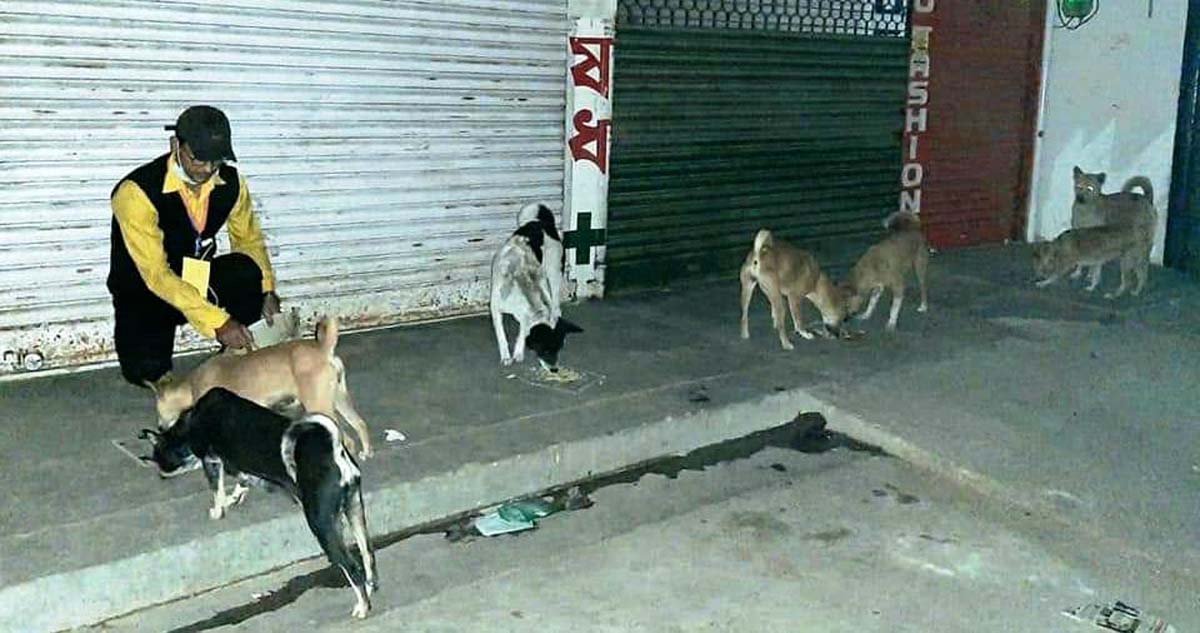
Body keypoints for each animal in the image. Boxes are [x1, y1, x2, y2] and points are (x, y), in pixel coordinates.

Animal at [145, 386, 379, 618]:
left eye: (158, 456)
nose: (160, 475)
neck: (191, 419)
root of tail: (335, 451)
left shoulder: (212, 461)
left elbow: (217, 490)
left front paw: (218, 510)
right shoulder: (238, 467)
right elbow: (241, 482)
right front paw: (234, 498)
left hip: (322, 526)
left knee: (352, 567)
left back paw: (362, 606)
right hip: (355, 513)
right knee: (368, 559)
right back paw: (369, 591)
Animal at [152, 316, 372, 460]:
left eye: (158, 410)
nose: (159, 428)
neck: (190, 384)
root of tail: (323, 349)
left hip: (319, 405)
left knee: (346, 440)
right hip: (339, 400)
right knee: (359, 424)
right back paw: (366, 452)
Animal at [487, 201, 580, 371]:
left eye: (558, 349)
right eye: (545, 350)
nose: (555, 370)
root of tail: (541, 222)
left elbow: (523, 331)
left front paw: (518, 351)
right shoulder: (496, 309)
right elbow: (501, 334)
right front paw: (506, 355)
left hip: (553, 272)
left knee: (555, 300)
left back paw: (556, 314)